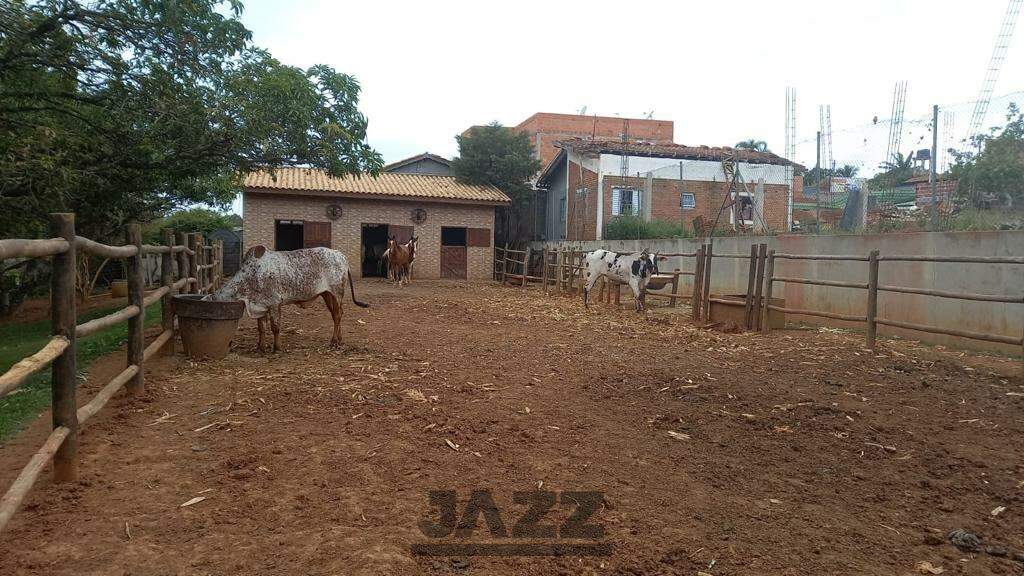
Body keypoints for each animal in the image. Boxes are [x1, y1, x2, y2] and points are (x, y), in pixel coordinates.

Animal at [207, 245, 368, 350]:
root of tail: (340, 255)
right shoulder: (260, 305)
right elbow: (261, 328)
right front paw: (261, 347)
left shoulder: (274, 304)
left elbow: (275, 327)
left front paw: (277, 347)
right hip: (327, 294)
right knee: (336, 315)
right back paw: (339, 340)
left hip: (336, 294)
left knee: (338, 315)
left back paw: (334, 341)